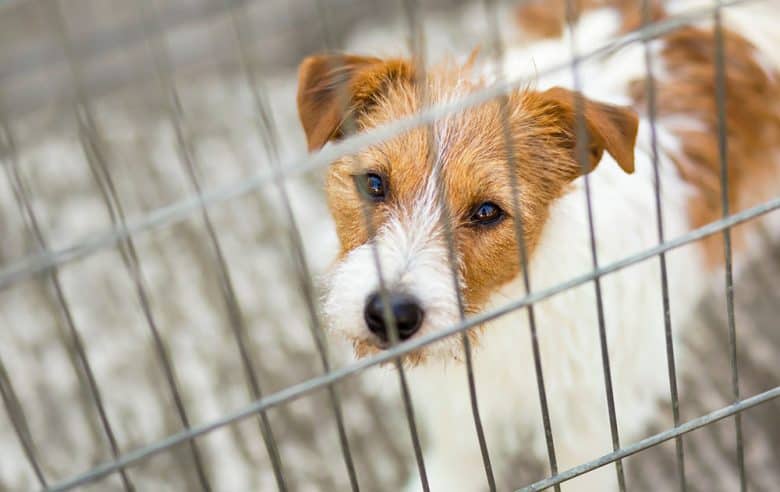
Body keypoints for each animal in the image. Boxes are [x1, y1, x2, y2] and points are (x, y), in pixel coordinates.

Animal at [296, 1, 776, 490]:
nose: (391, 315)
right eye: (374, 183)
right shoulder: (461, 409)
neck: (507, 307)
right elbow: (461, 453)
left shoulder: (593, 419)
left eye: (488, 211)